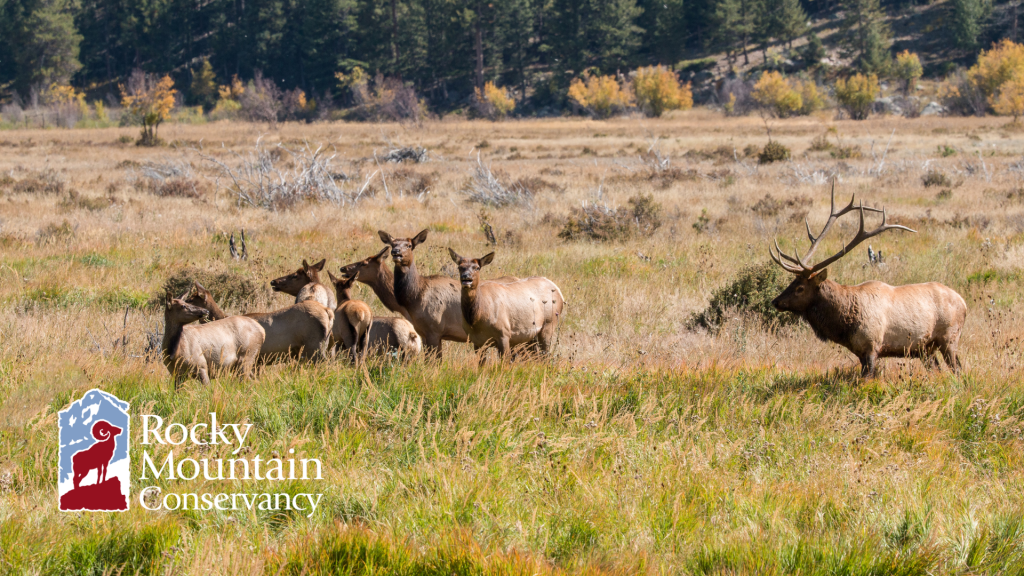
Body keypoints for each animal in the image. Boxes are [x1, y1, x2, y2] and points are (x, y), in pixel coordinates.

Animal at [770, 181, 966, 375]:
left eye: (800, 288)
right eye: (792, 282)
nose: (775, 301)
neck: (845, 323)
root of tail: (964, 303)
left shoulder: (872, 346)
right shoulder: (860, 352)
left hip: (949, 338)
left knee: (957, 369)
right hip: (926, 349)